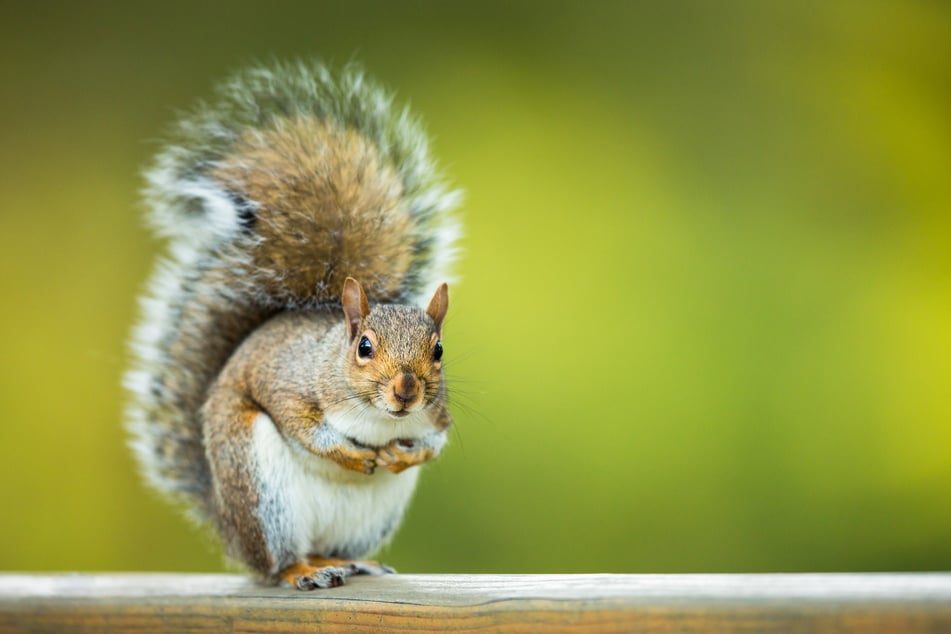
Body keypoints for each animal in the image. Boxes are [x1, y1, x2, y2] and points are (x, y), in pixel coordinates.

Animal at [125, 60, 462, 588]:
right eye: (364, 347)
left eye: (439, 351)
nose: (406, 392)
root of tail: (227, 525)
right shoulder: (288, 383)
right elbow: (303, 426)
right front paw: (352, 454)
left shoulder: (437, 414)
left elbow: (435, 441)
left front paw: (404, 454)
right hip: (260, 489)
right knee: (276, 562)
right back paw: (301, 571)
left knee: (330, 548)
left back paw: (349, 562)